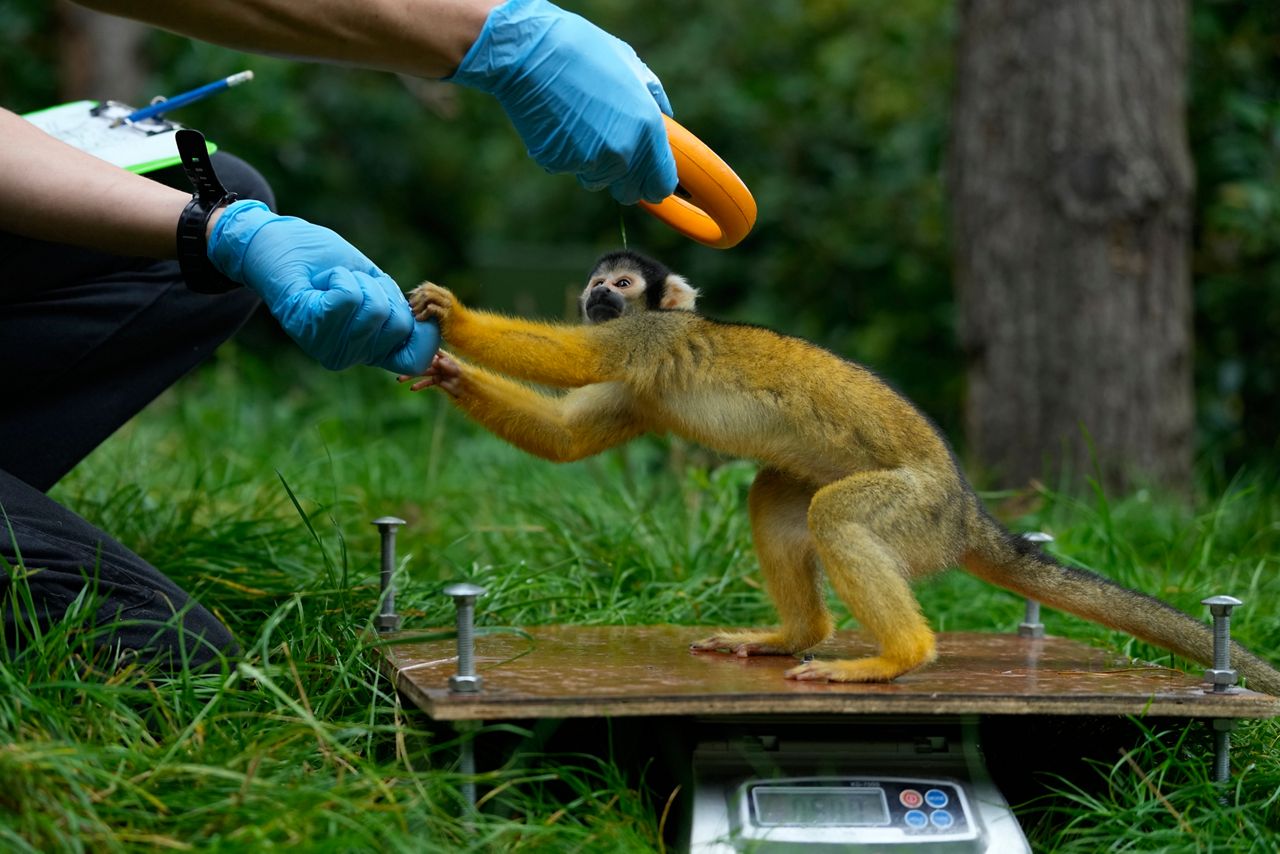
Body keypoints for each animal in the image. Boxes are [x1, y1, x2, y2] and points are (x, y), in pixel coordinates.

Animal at [404, 248, 1280, 696]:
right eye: (596, 279)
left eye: (619, 283)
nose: (594, 291)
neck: (661, 321)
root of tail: (968, 511)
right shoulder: (636, 381)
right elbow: (566, 439)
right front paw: (447, 370)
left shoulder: (644, 339)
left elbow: (574, 355)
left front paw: (454, 318)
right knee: (777, 493)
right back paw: (795, 636)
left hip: (918, 510)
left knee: (842, 516)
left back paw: (897, 657)